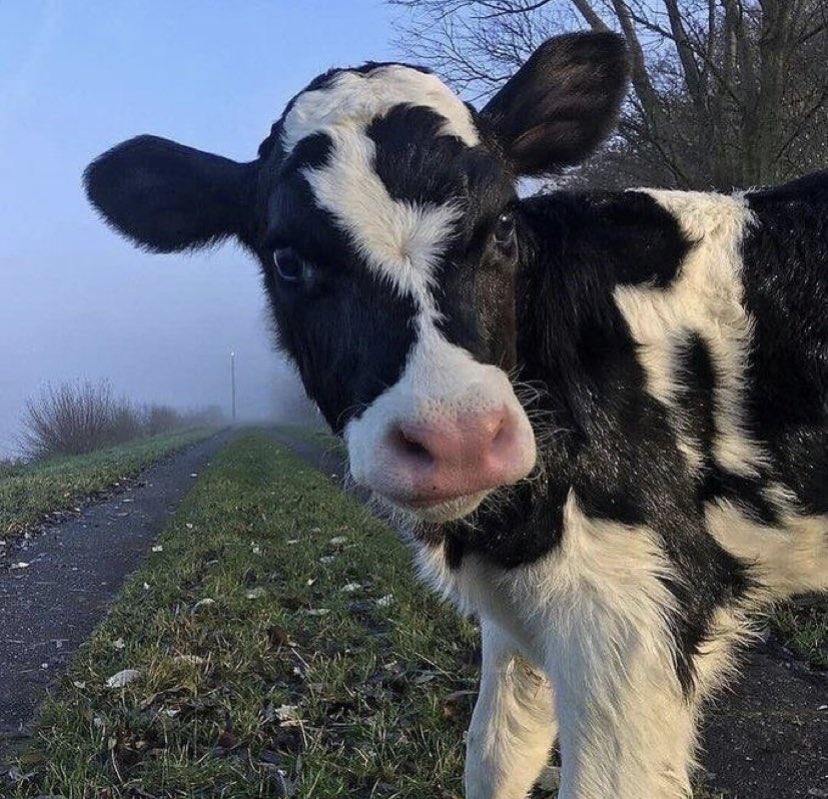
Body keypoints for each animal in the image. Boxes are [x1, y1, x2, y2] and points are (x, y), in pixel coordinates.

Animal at [83, 32, 827, 799]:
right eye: (287, 259)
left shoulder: (633, 618)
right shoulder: (523, 617)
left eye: (501, 225)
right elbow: (495, 753)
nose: (458, 439)